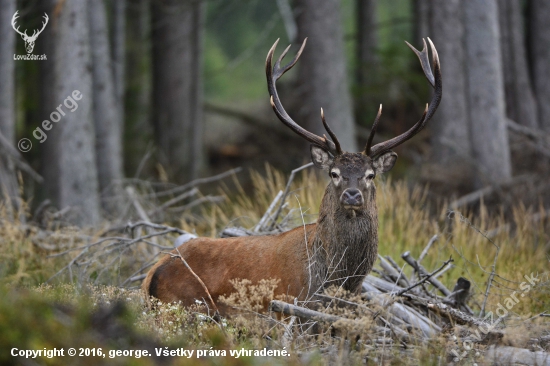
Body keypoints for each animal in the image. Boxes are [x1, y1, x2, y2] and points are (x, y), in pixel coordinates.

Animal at [143, 38, 444, 314]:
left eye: (370, 175)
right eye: (334, 173)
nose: (352, 194)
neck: (338, 280)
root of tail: (152, 273)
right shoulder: (296, 309)